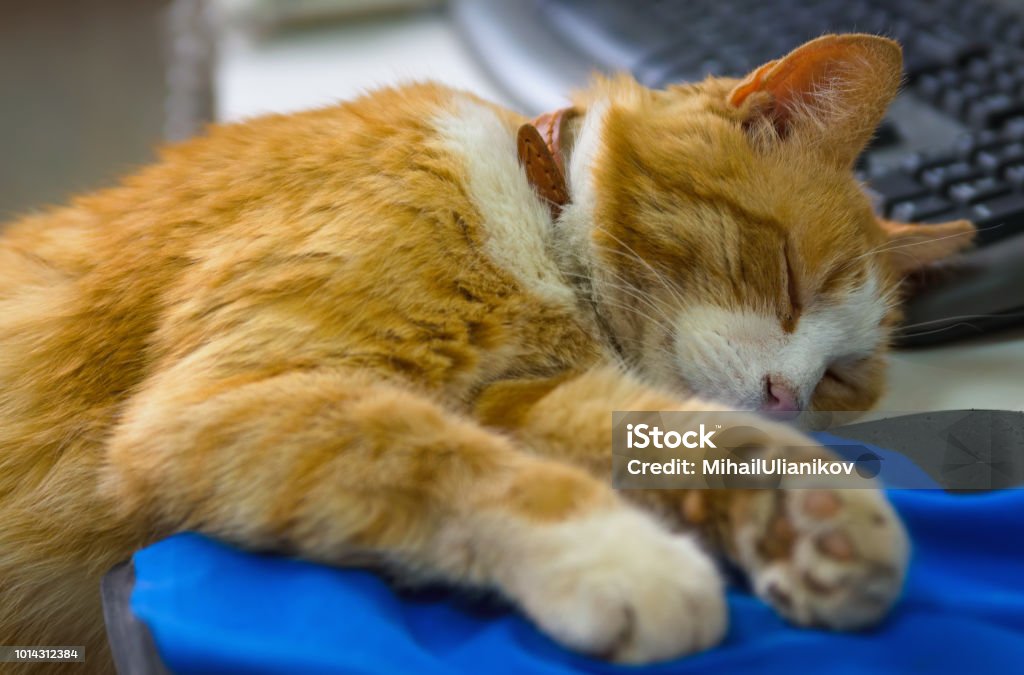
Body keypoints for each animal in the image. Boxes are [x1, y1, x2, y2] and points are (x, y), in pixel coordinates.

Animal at [0, 35, 974, 671]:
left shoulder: (523, 397)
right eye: (790, 278)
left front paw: (805, 514)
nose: (784, 392)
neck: (534, 213)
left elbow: (673, 431)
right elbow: (433, 457)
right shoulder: (225, 395)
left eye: (841, 378)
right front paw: (618, 556)